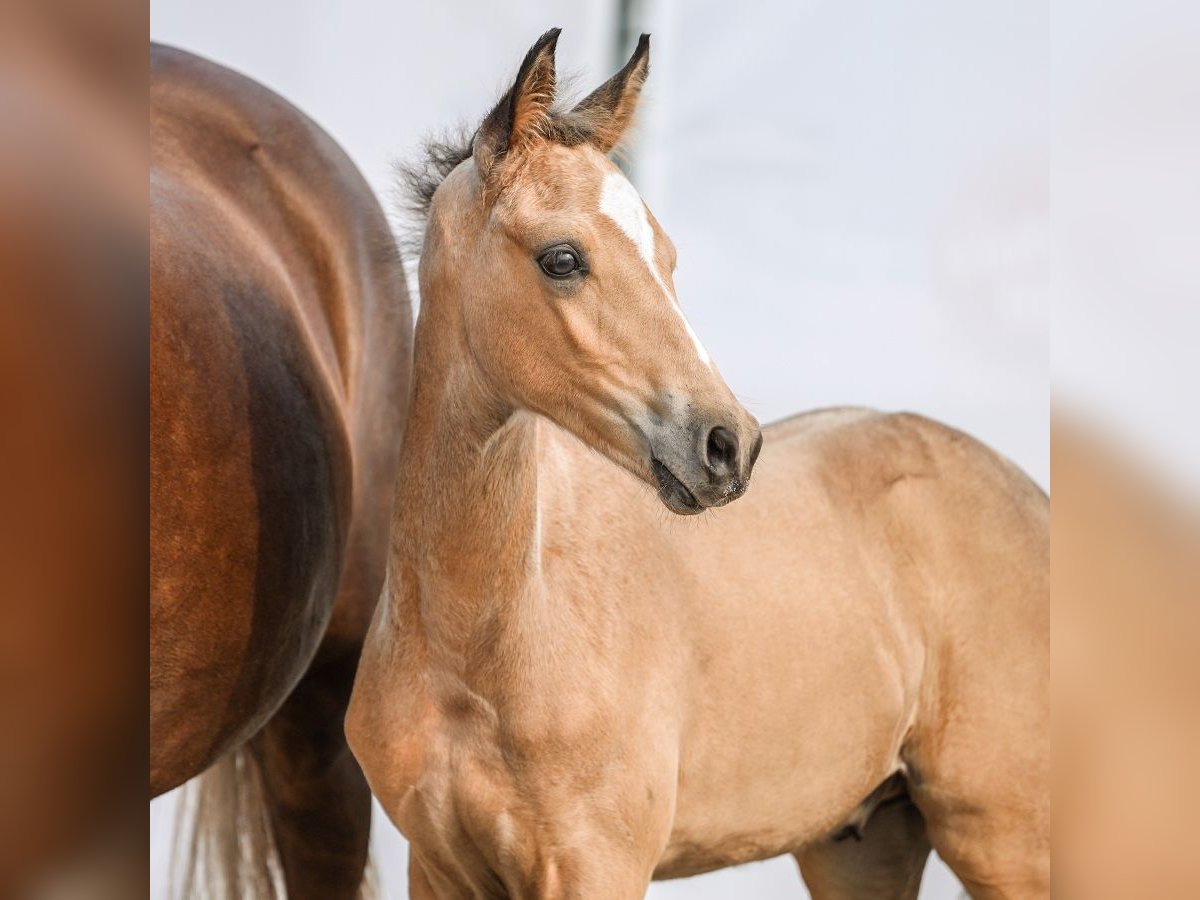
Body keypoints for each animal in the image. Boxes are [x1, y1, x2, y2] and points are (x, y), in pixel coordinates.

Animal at [343, 30, 1046, 900]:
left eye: (668, 256)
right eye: (562, 258)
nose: (727, 444)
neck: (476, 647)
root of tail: (1029, 496)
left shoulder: (597, 867)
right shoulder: (438, 867)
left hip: (1003, 838)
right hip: (862, 842)